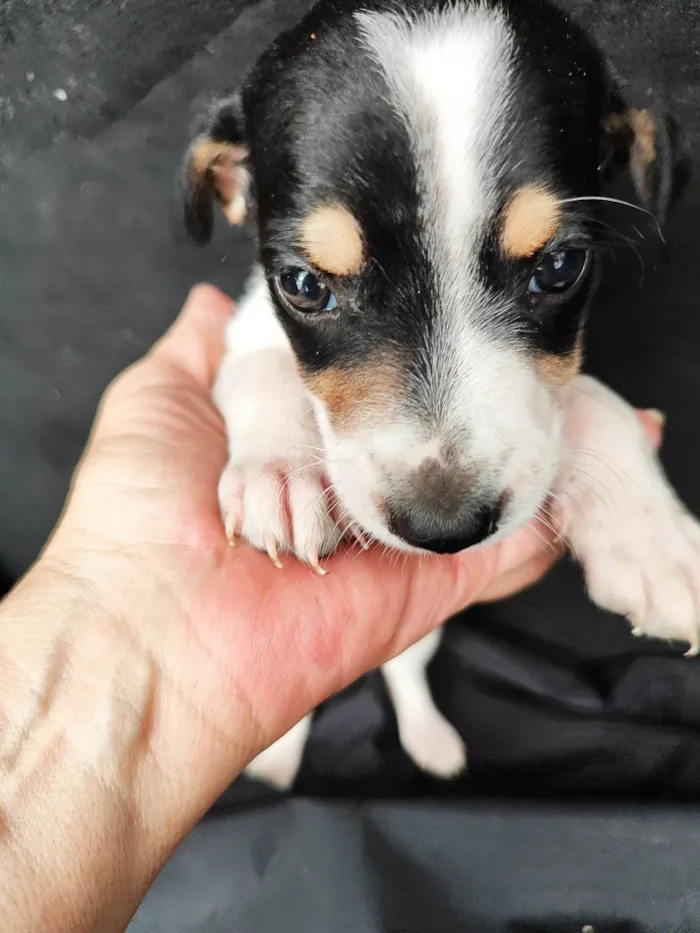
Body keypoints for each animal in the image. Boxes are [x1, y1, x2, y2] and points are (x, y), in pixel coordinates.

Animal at [180, 0, 696, 788]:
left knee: (404, 671)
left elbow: (592, 402)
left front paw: (653, 540)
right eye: (303, 285)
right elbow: (263, 373)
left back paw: (431, 743)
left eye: (560, 266)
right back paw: (275, 760)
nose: (444, 528)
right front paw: (280, 474)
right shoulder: (242, 331)